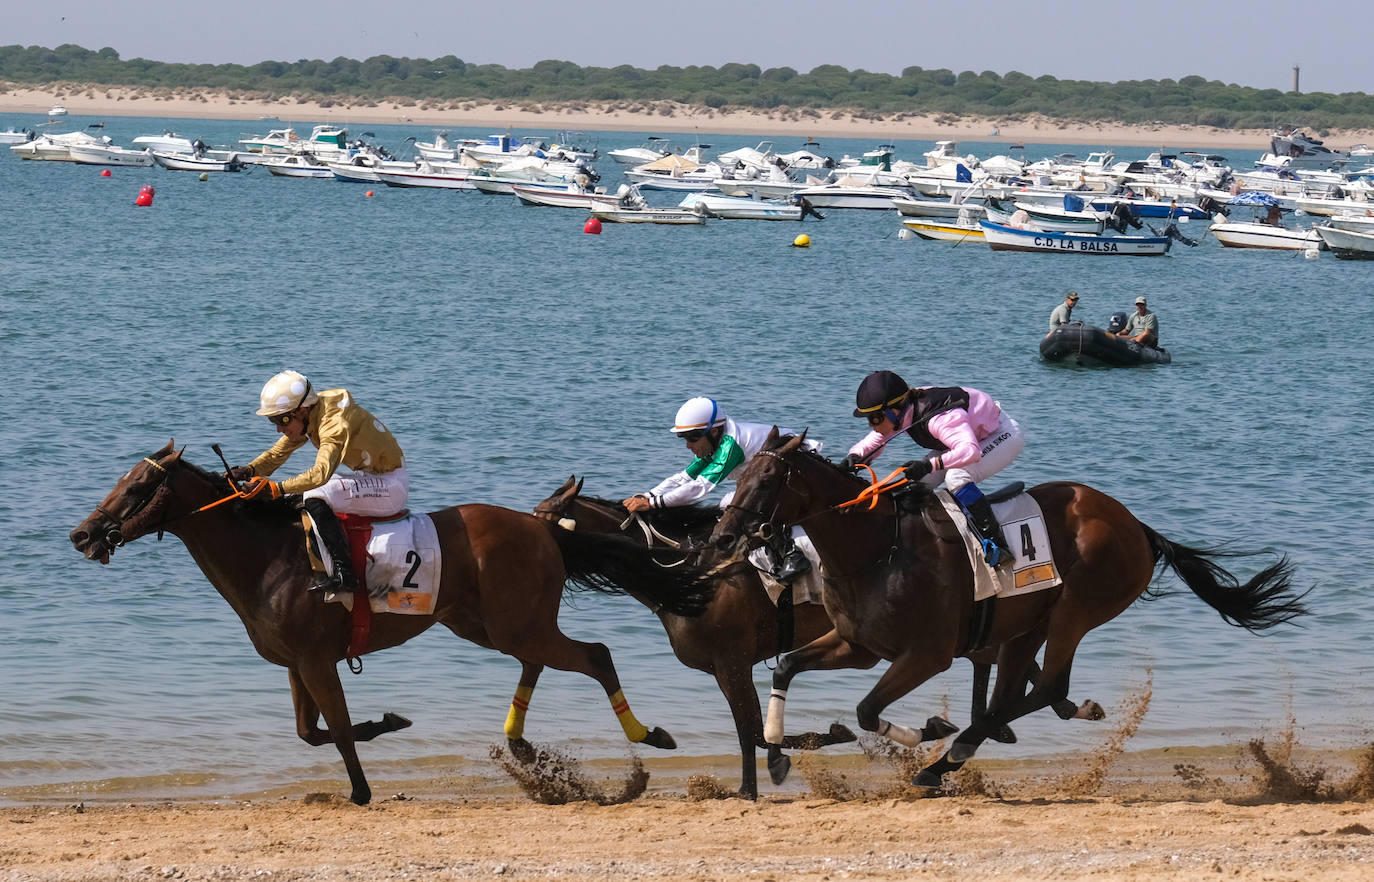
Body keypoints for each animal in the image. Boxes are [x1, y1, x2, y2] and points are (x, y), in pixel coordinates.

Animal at [69, 441, 714, 805]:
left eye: (136, 487)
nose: (81, 534)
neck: (270, 557)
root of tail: (542, 526)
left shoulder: (316, 659)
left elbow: (337, 730)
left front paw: (360, 789)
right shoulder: (296, 664)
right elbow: (311, 732)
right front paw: (388, 721)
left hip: (513, 623)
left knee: (596, 654)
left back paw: (647, 737)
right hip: (487, 624)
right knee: (540, 659)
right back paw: (523, 747)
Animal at [710, 430, 1307, 787]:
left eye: (767, 480)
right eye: (738, 476)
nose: (721, 538)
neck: (875, 548)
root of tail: (1137, 525)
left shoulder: (925, 655)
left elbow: (864, 710)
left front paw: (927, 732)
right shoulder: (857, 644)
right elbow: (787, 667)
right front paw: (777, 753)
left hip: (1075, 611)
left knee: (1041, 690)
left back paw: (946, 761)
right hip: (1028, 625)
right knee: (1024, 691)